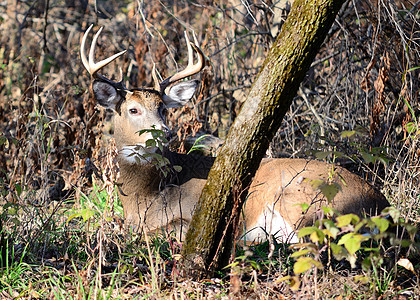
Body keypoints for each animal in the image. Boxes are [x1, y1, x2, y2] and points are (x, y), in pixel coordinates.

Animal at [80, 25, 388, 241]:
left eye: (163, 108)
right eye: (133, 109)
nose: (165, 133)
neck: (145, 195)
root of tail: (379, 206)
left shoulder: (192, 215)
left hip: (305, 199)